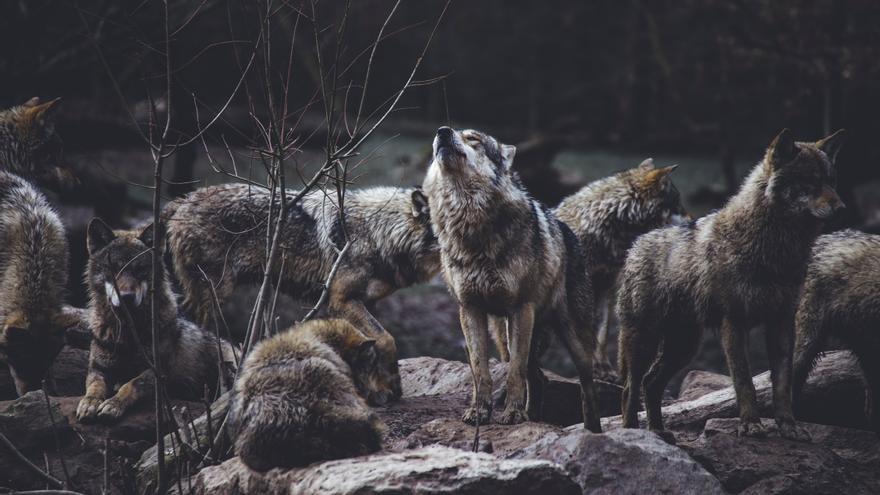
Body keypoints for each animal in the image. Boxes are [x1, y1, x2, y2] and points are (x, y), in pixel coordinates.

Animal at [76, 219, 236, 422]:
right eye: (114, 268)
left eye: (140, 270)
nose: (127, 297)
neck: (128, 333)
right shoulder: (98, 369)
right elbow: (94, 387)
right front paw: (89, 403)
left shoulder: (158, 373)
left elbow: (131, 384)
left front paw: (113, 404)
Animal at [164, 184, 439, 404]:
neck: (379, 231)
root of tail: (183, 200)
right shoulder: (341, 300)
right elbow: (387, 339)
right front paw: (392, 386)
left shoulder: (366, 302)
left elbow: (373, 346)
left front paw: (380, 390)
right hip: (214, 295)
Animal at [423, 126, 601, 431]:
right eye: (448, 132)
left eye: (473, 138)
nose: (443, 132)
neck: (470, 227)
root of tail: (568, 231)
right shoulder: (470, 309)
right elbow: (480, 371)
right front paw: (479, 412)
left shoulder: (520, 309)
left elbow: (514, 373)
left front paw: (514, 415)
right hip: (505, 334)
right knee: (539, 377)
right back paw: (535, 417)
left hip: (572, 339)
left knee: (586, 387)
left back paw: (592, 430)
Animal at [617, 129, 845, 443]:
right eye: (810, 181)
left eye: (831, 181)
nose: (842, 208)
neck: (775, 249)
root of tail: (637, 243)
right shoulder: (734, 323)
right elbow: (744, 382)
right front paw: (750, 425)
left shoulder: (782, 323)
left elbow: (782, 385)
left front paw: (789, 426)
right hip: (645, 340)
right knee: (631, 387)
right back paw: (633, 434)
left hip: (684, 347)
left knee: (651, 383)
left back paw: (659, 432)